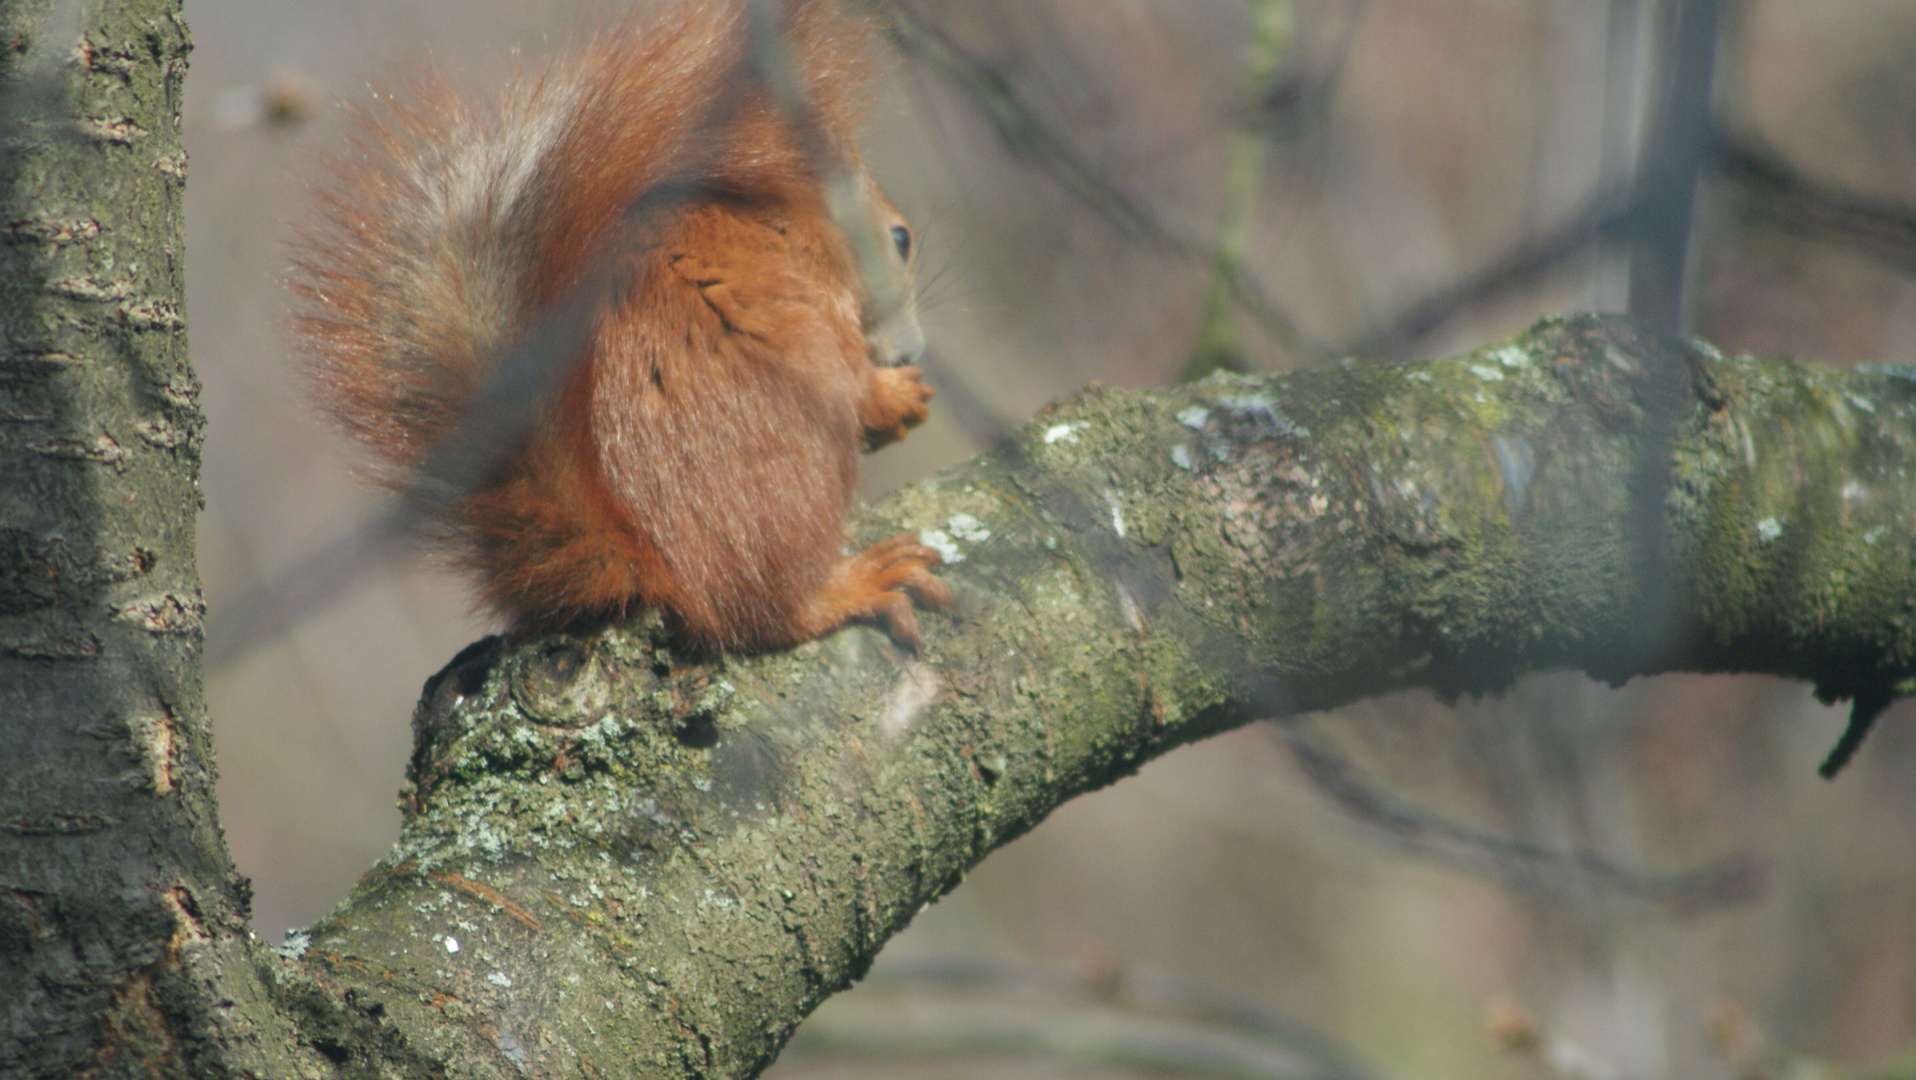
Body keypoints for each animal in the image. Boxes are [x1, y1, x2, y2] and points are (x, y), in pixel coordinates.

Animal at [289, 2, 950, 651]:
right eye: (901, 239)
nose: (914, 349)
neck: (786, 223)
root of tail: (651, 561)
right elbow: (856, 386)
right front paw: (896, 395)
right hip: (794, 455)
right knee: (764, 613)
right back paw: (851, 585)